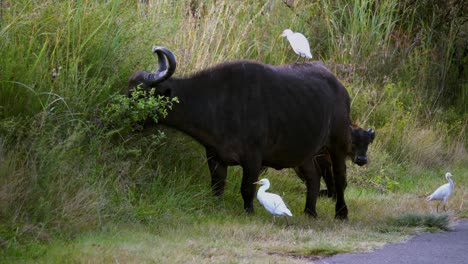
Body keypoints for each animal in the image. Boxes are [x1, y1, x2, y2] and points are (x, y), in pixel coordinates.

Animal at [128, 47, 354, 219]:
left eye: (140, 94)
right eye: (128, 91)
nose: (126, 118)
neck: (219, 103)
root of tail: (341, 89)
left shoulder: (253, 159)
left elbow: (247, 188)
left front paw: (249, 212)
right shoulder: (214, 156)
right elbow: (217, 185)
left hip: (339, 143)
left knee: (340, 177)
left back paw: (341, 213)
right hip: (304, 153)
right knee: (313, 177)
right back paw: (310, 211)